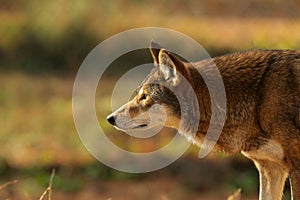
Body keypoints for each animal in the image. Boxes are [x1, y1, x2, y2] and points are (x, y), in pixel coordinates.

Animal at [106, 41, 298, 199]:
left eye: (144, 97)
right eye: (139, 95)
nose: (110, 118)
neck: (258, 99)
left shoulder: (294, 167)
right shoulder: (270, 169)